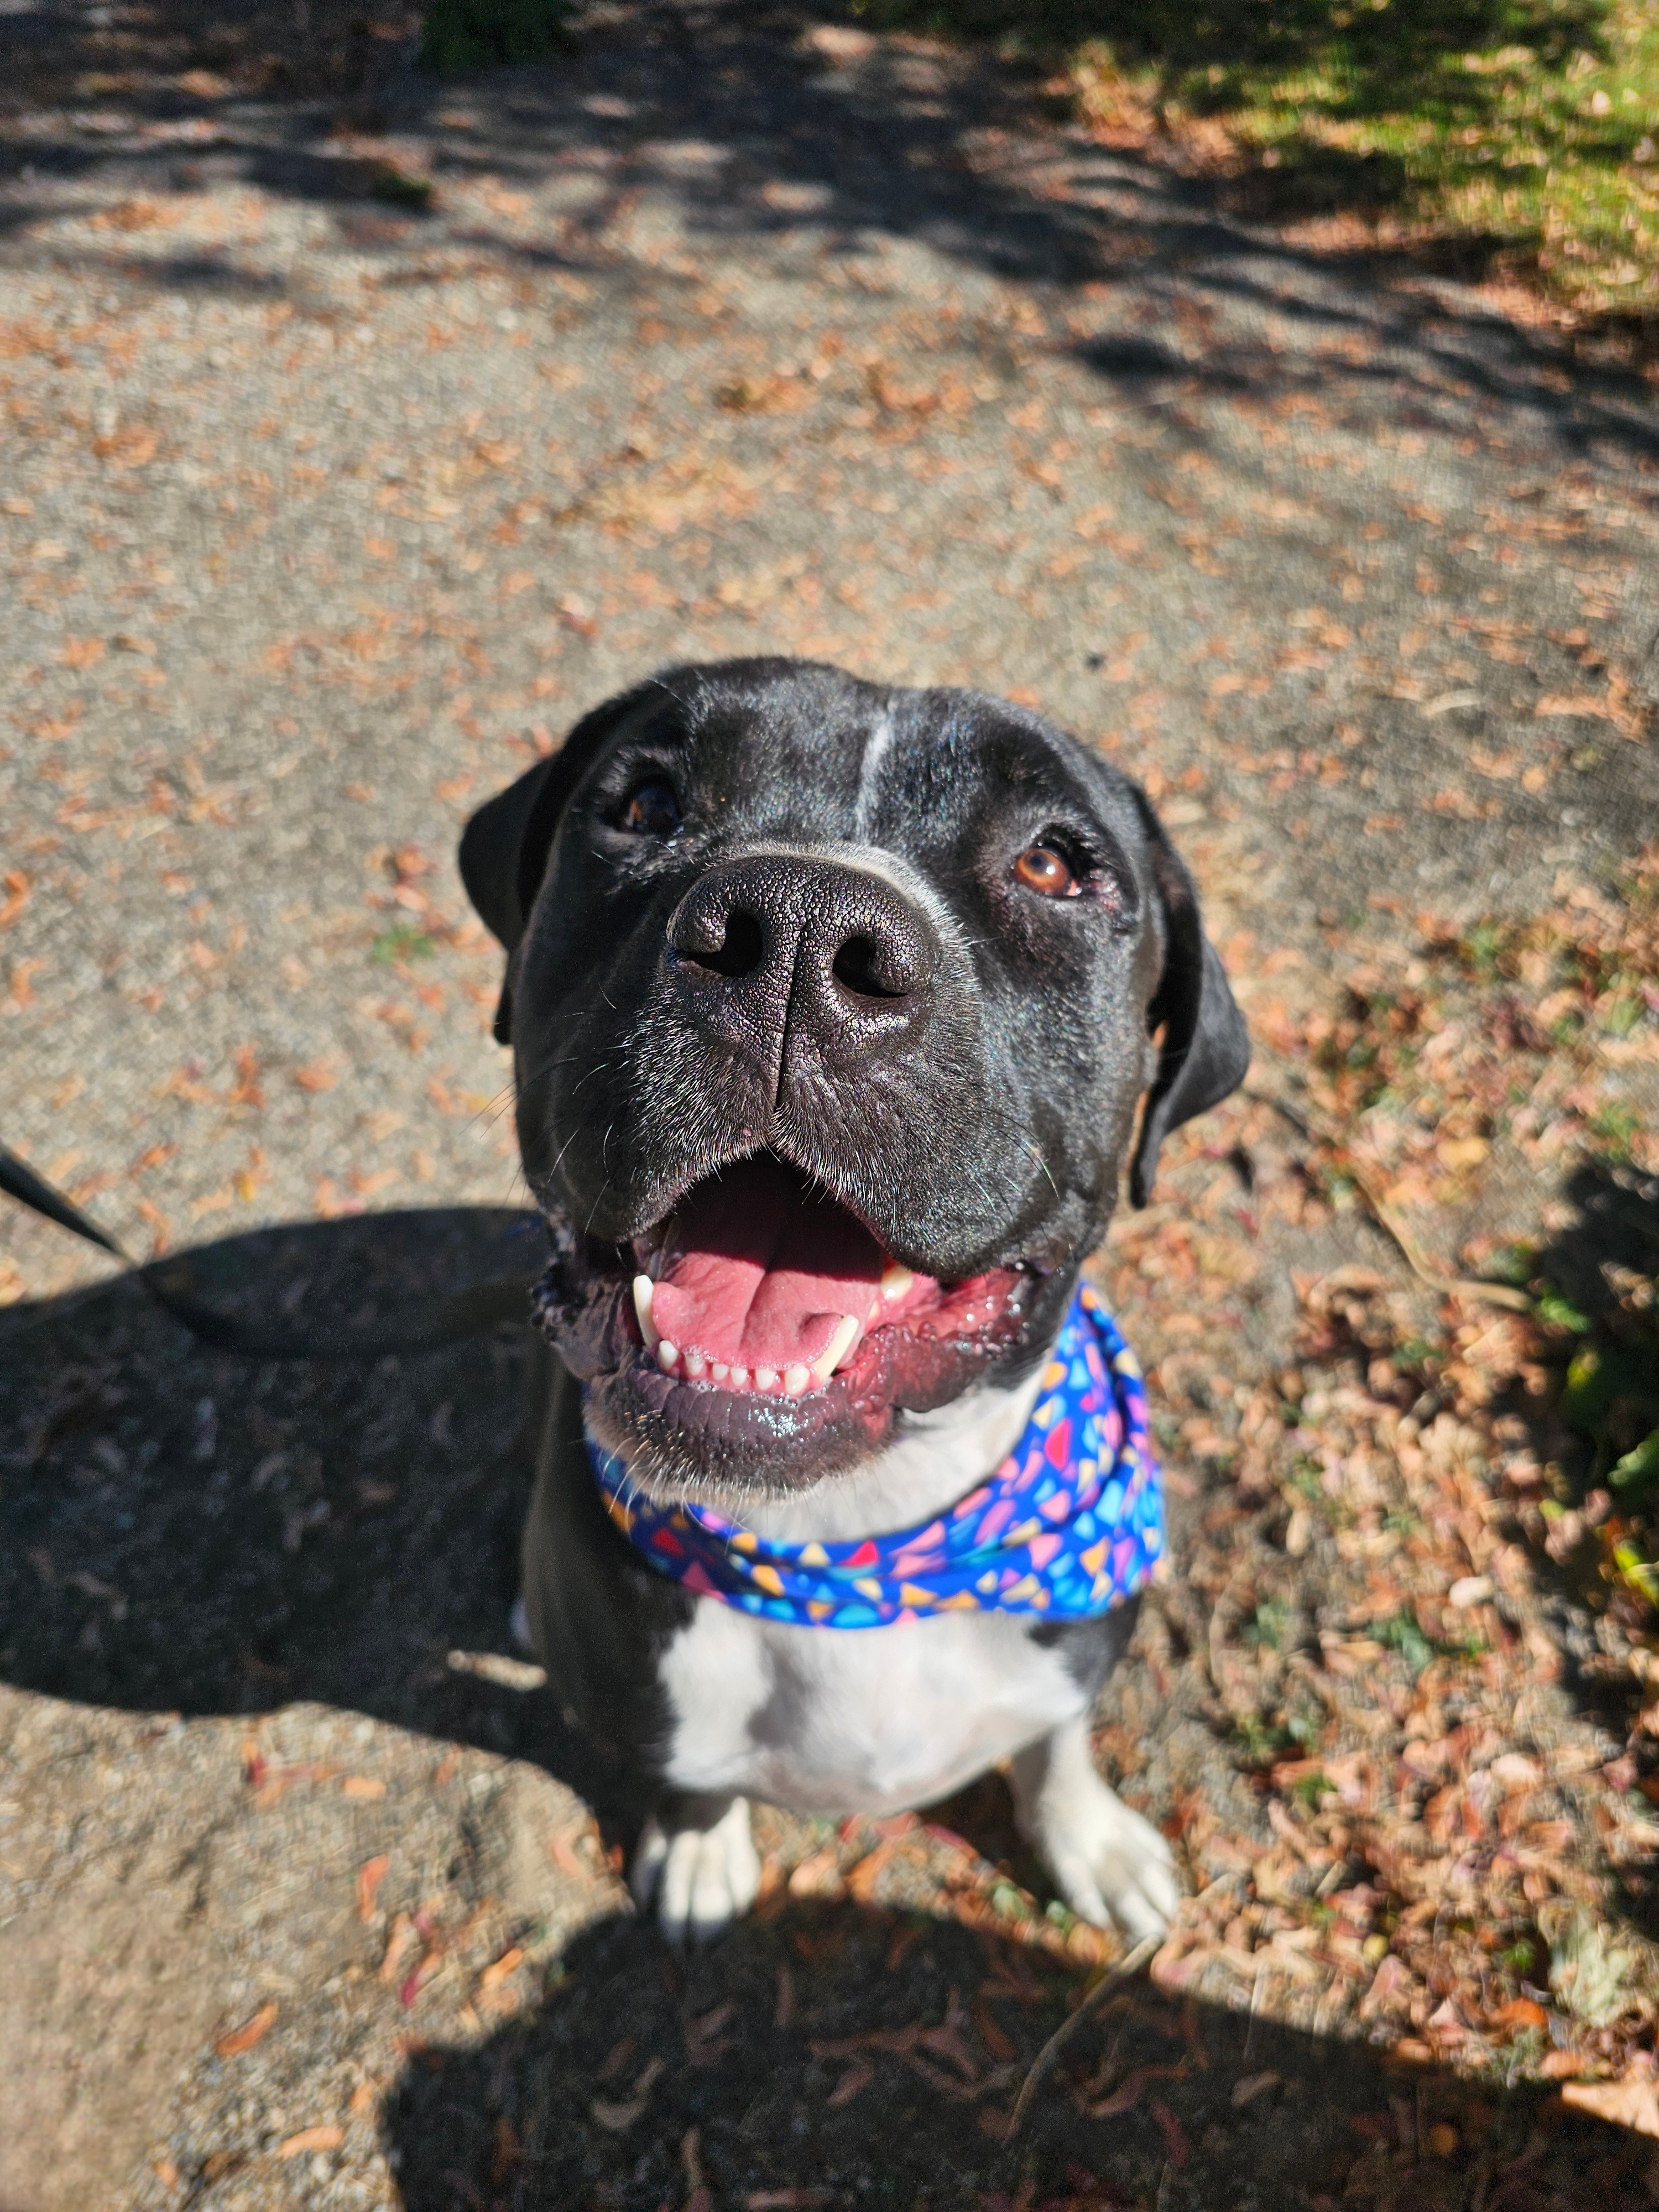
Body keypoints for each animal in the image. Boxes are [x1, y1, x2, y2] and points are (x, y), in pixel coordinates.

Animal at [458, 655, 1248, 1938]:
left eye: (1052, 863)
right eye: (644, 803)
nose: (796, 930)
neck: (854, 1539)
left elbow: (1059, 1734)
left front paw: (1091, 1838)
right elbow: (689, 1773)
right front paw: (699, 1850)